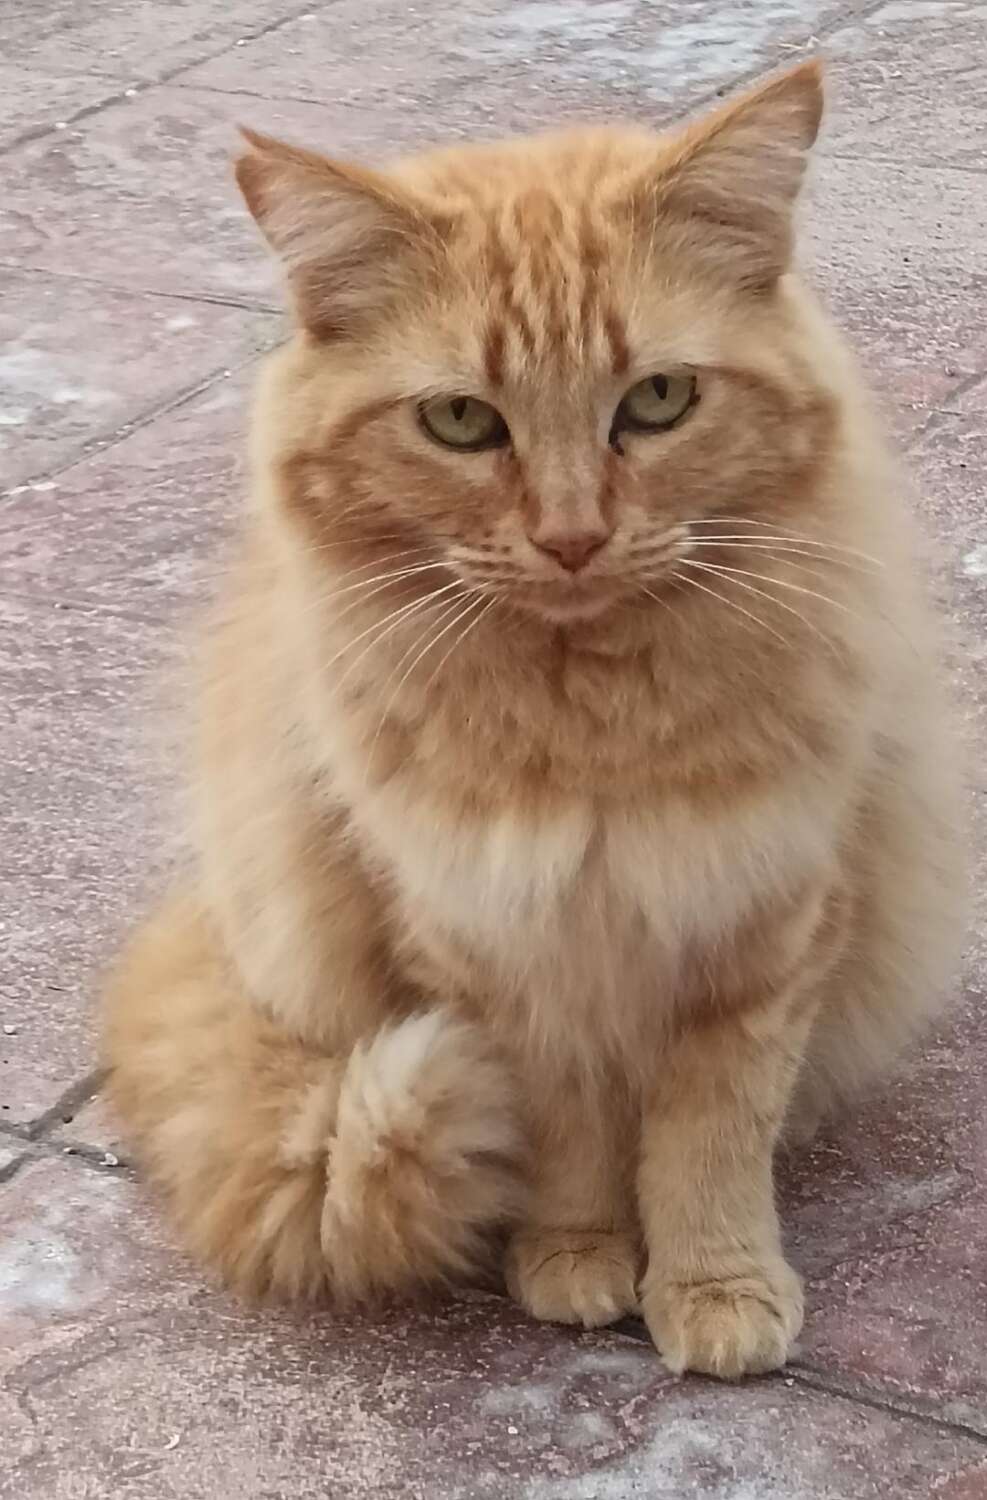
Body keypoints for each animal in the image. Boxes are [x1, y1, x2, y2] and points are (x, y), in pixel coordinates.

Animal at [102, 60, 965, 1378]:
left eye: (658, 400)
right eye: (461, 422)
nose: (571, 538)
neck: (590, 714)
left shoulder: (764, 927)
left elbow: (711, 1141)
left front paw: (715, 1285)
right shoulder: (489, 952)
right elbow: (565, 1136)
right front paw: (575, 1257)